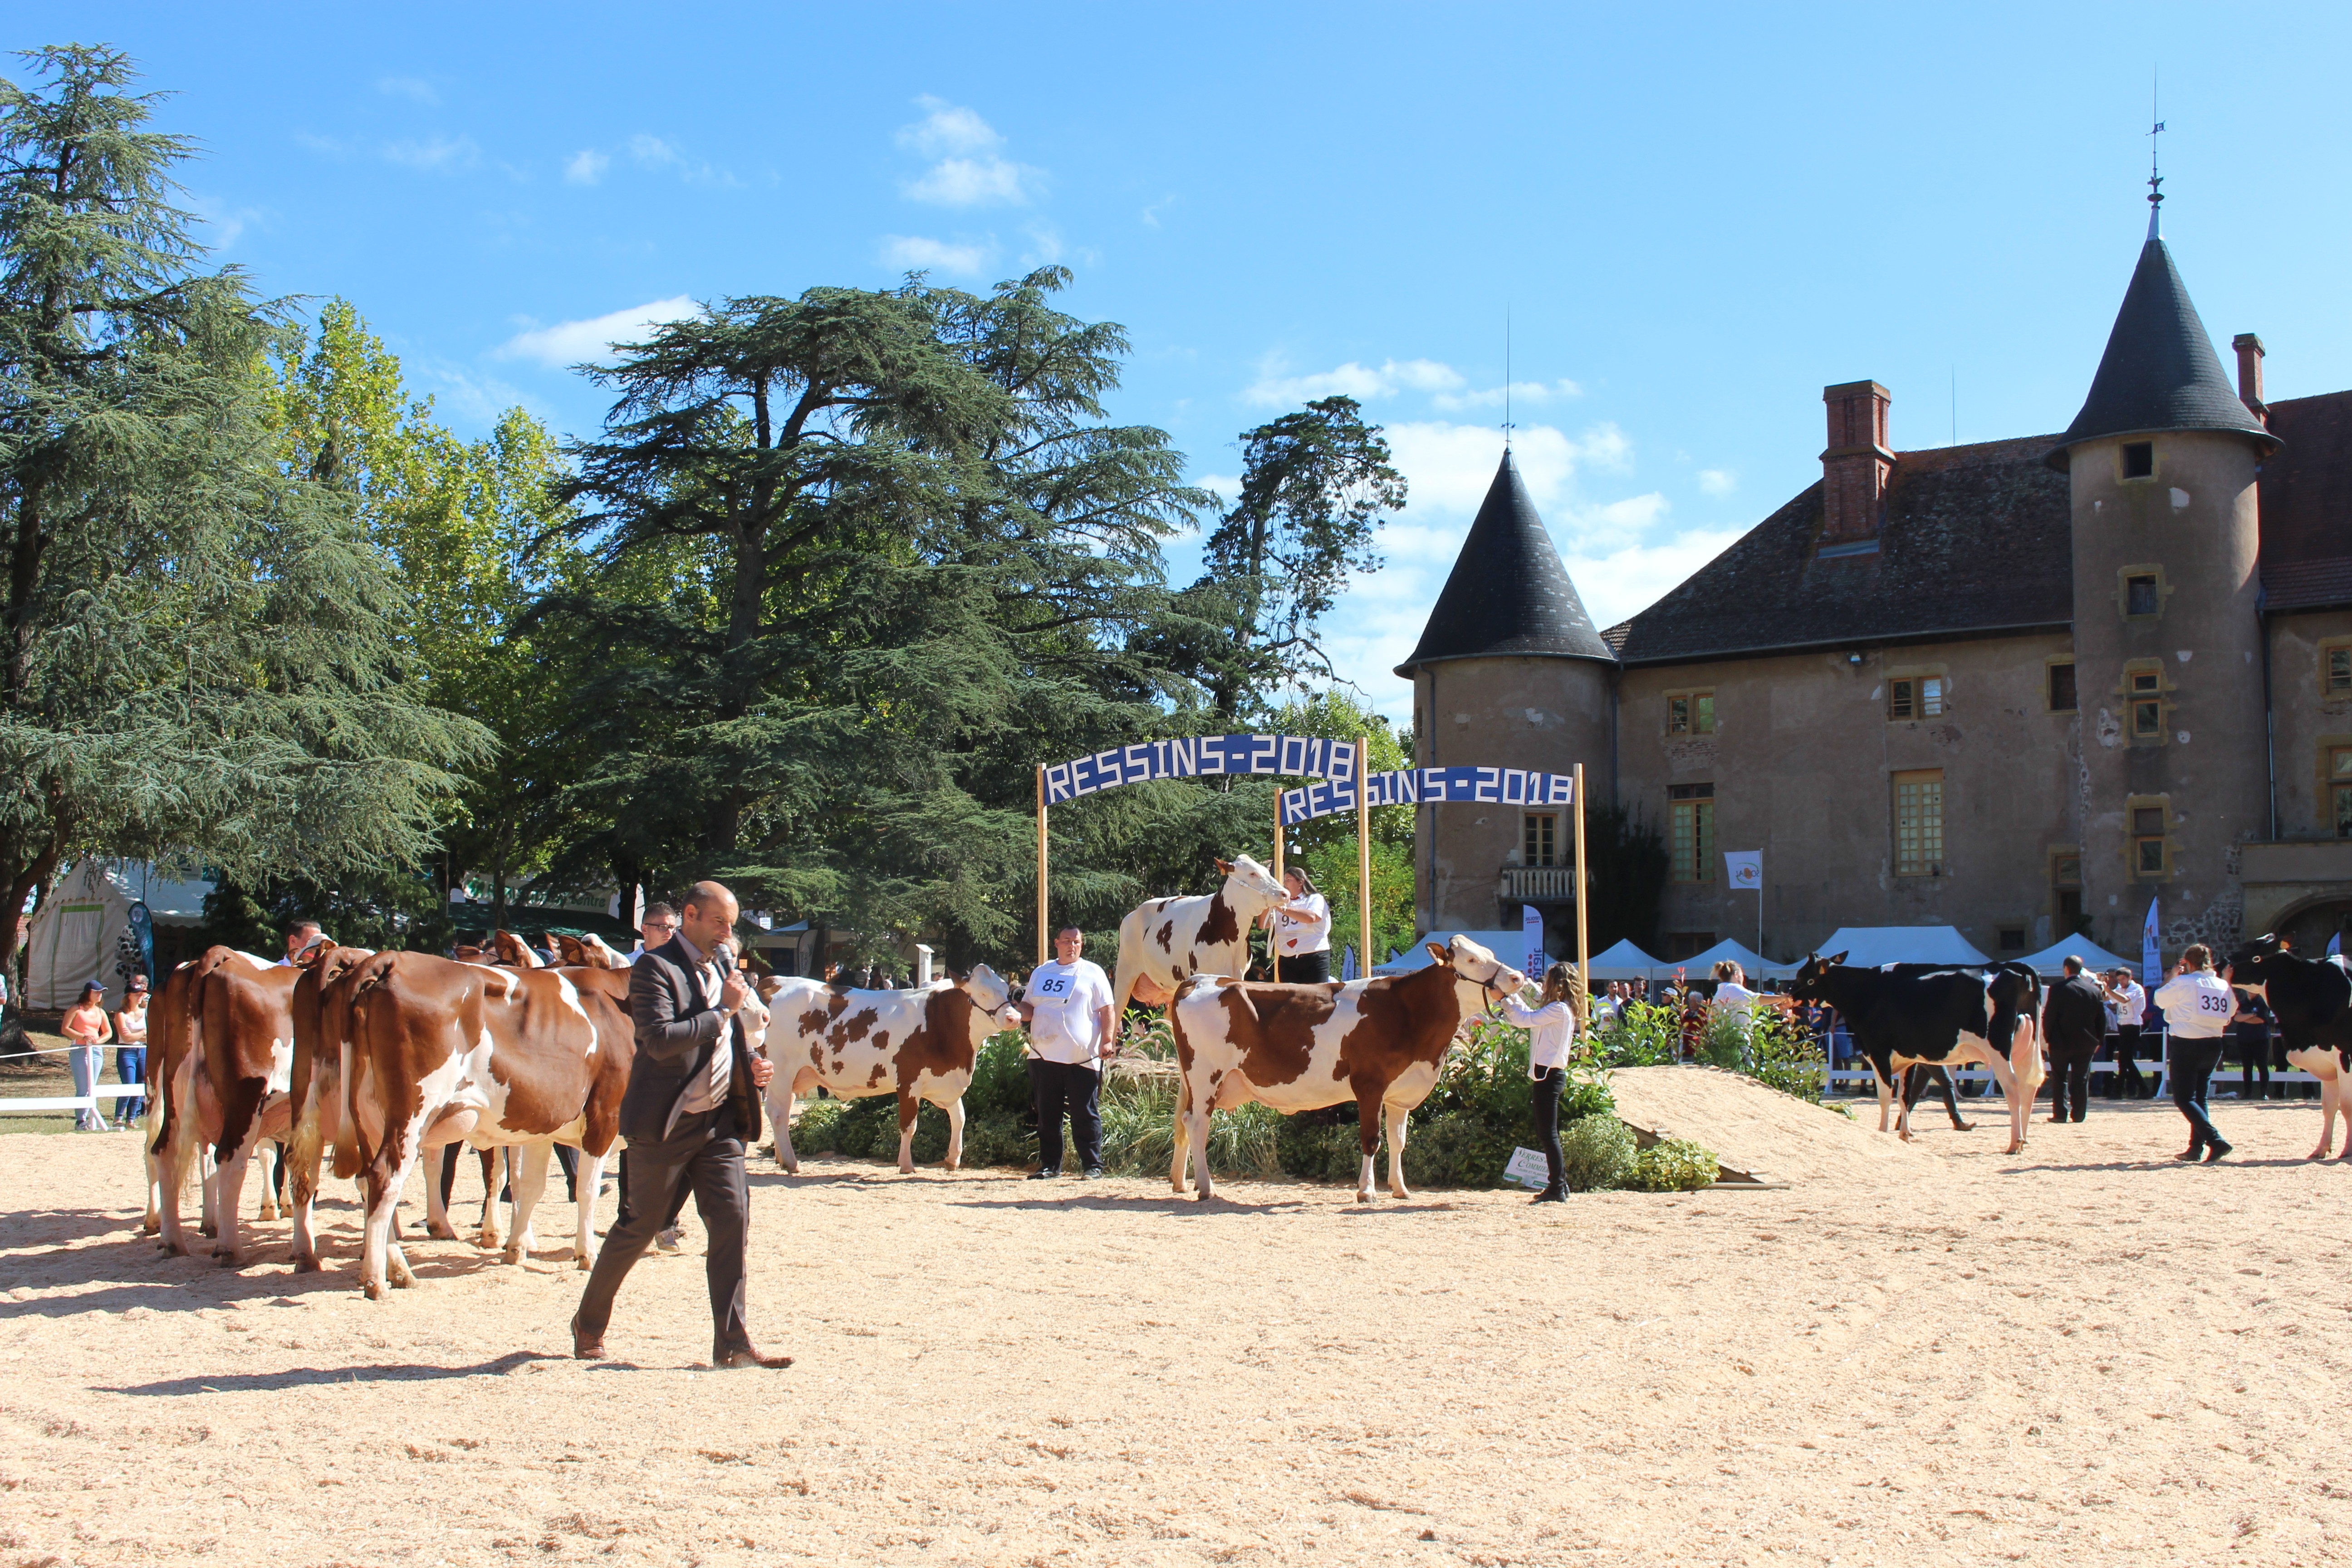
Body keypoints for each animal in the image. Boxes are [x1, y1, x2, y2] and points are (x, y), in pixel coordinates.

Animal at [766, 968, 1016, 1175]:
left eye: (1006, 990)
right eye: (983, 994)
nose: (1014, 1017)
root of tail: (775, 982)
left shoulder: (945, 1082)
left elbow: (960, 1119)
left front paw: (953, 1160)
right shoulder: (908, 1083)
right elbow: (909, 1125)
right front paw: (906, 1165)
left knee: (780, 1110)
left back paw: (781, 1158)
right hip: (781, 1070)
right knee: (778, 1113)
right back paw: (791, 1162)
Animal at [1105, 860, 1289, 1020]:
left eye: (1267, 871)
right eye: (1252, 873)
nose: (1285, 894)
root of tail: (1132, 914)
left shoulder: (1238, 975)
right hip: (1125, 972)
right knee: (1116, 1014)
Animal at [1161, 940, 1524, 1213]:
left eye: (1490, 953)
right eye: (1473, 960)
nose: (1519, 977)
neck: (1409, 1014)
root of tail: (1202, 979)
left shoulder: (1399, 1093)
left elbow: (1399, 1141)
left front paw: (1401, 1188)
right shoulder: (1369, 1085)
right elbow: (1372, 1139)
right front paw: (1367, 1191)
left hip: (1194, 1080)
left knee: (1184, 1121)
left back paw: (1182, 1182)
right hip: (1206, 1076)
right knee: (1198, 1123)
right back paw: (1207, 1187)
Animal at [1787, 950, 2051, 1161]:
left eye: (1803, 976)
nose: (1790, 996)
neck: (1867, 992)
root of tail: (2010, 967)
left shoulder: (1879, 1052)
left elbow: (1885, 1097)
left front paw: (1882, 1132)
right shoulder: (1908, 1059)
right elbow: (1904, 1097)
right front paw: (1904, 1134)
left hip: (1998, 1049)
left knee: (2013, 1089)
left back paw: (2014, 1143)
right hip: (2025, 1049)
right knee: (2029, 1088)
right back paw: (2023, 1140)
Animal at [2220, 940, 2352, 1161]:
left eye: (2251, 948)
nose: (2220, 963)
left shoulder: (2345, 1057)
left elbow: (2347, 1105)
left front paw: (2348, 1150)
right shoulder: (2326, 1063)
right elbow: (2329, 1106)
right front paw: (2321, 1149)